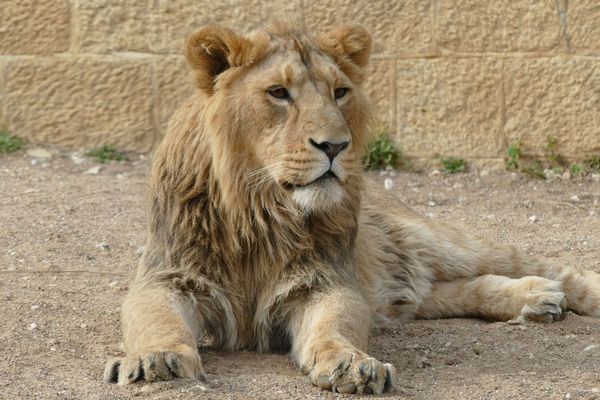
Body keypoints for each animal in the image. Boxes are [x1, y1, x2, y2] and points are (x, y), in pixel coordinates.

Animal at [103, 21, 600, 394]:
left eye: (340, 92)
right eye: (278, 92)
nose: (334, 146)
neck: (261, 210)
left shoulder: (329, 282)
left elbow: (335, 328)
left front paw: (351, 364)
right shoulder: (166, 277)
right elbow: (156, 321)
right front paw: (156, 360)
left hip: (437, 239)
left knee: (546, 266)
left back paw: (554, 292)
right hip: (404, 291)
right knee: (450, 291)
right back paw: (536, 300)